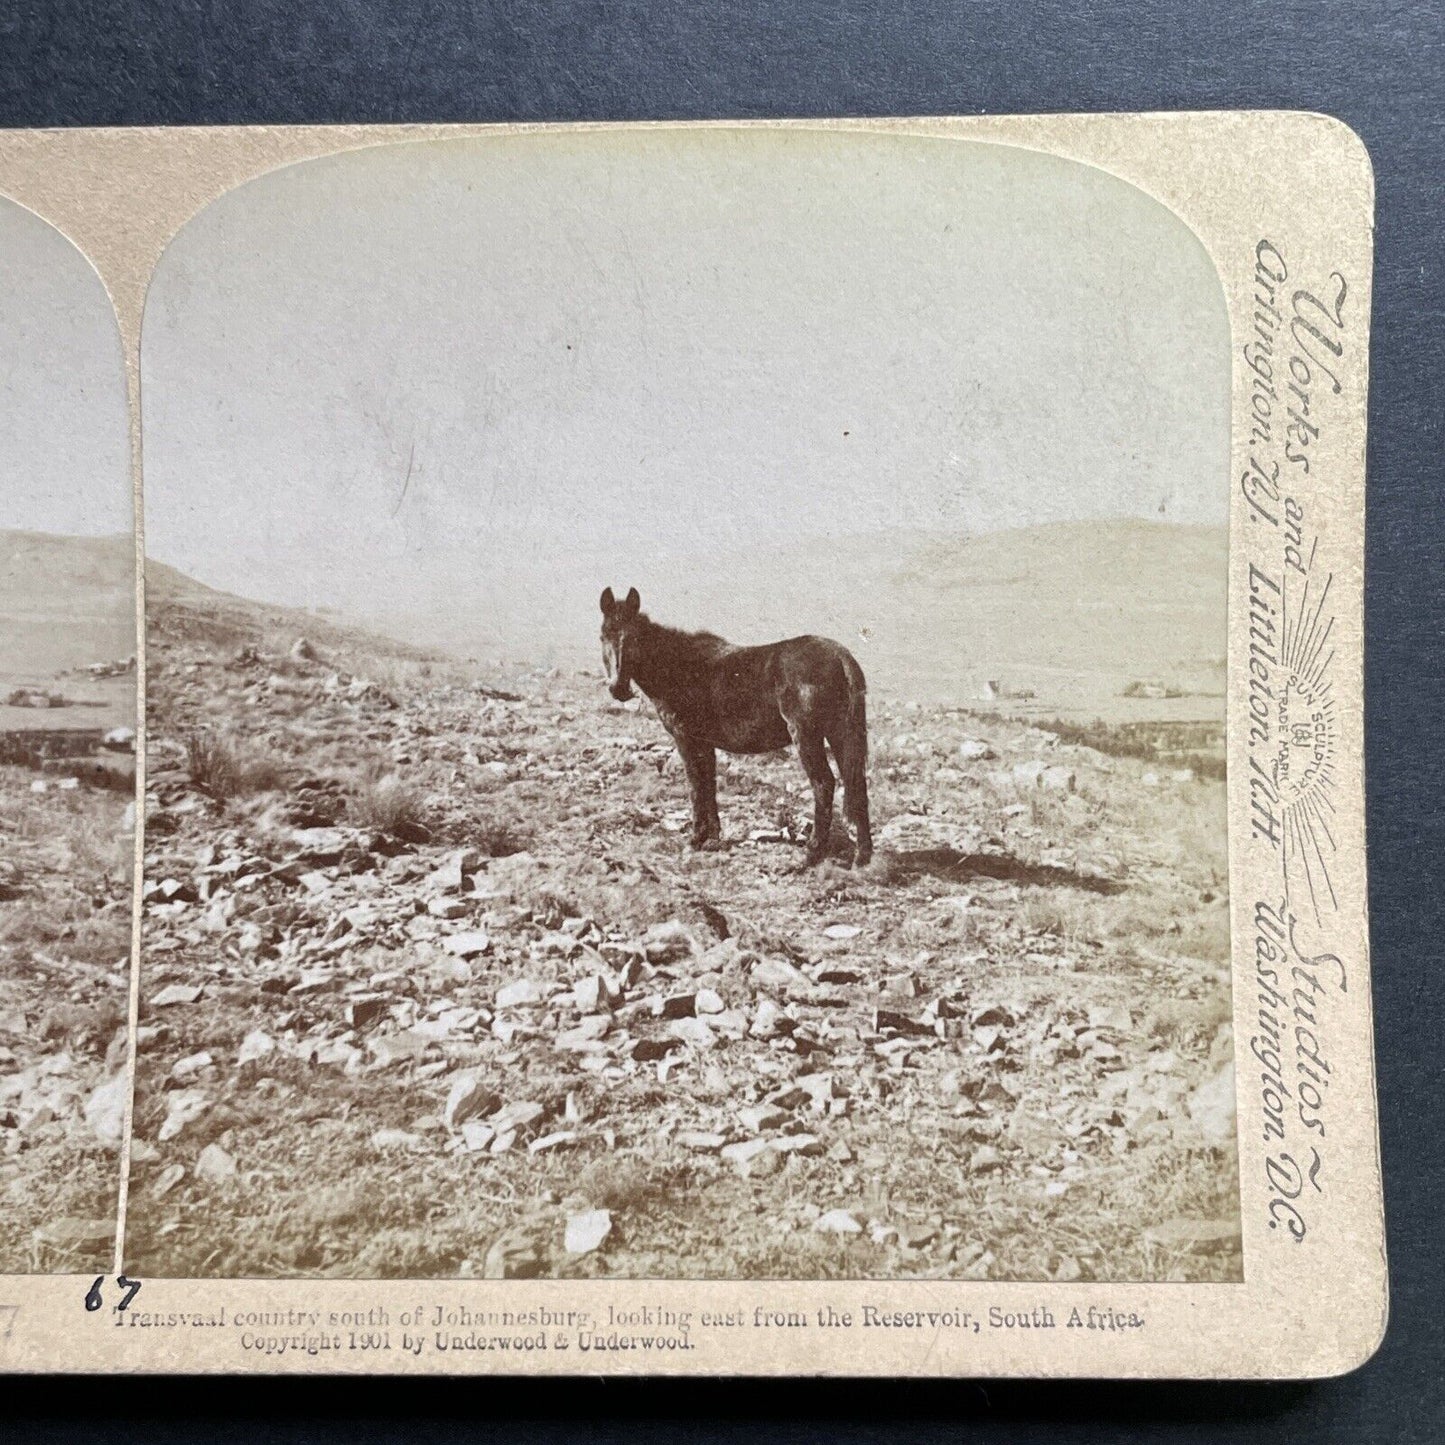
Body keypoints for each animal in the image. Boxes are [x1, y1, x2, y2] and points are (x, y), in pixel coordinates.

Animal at [595, 589, 867, 867]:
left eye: (634, 638)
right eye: (603, 635)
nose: (618, 688)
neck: (681, 668)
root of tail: (840, 656)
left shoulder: (686, 740)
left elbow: (695, 787)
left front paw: (695, 840)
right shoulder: (704, 745)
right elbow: (708, 785)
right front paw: (712, 837)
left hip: (807, 736)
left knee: (823, 784)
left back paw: (811, 854)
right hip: (840, 734)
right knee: (856, 785)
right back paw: (861, 857)